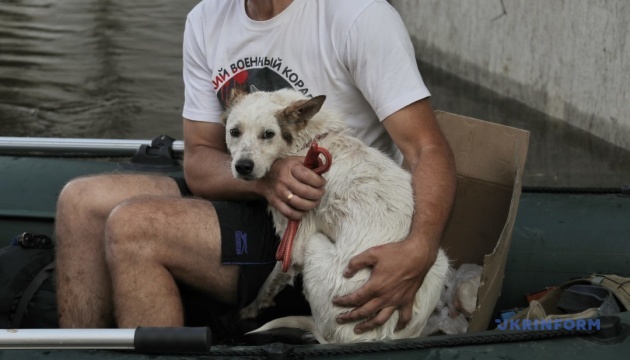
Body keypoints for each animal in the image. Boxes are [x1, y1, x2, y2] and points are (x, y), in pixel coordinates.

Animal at [225, 87, 452, 344]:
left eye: (268, 134)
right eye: (234, 132)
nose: (243, 167)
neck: (309, 143)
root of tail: (370, 339)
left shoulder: (294, 245)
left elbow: (268, 285)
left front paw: (248, 311)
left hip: (314, 245)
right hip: (439, 261)